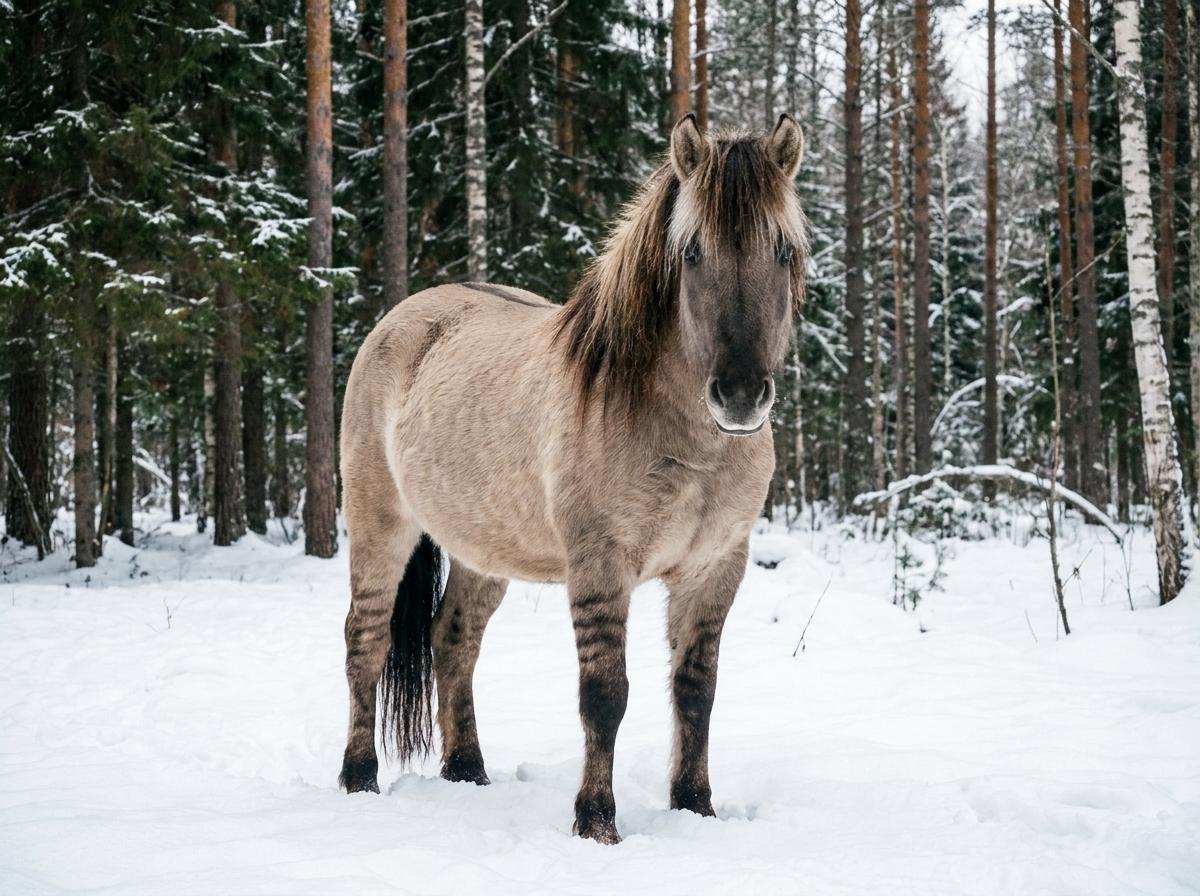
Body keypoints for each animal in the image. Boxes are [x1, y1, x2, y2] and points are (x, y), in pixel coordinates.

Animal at [337, 113, 807, 844]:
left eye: (783, 250)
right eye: (692, 253)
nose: (738, 396)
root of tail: (402, 318)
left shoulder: (714, 568)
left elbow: (696, 691)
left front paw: (695, 808)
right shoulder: (600, 564)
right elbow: (605, 696)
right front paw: (596, 823)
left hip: (483, 550)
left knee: (453, 641)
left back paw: (467, 770)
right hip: (379, 528)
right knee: (365, 641)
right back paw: (359, 778)